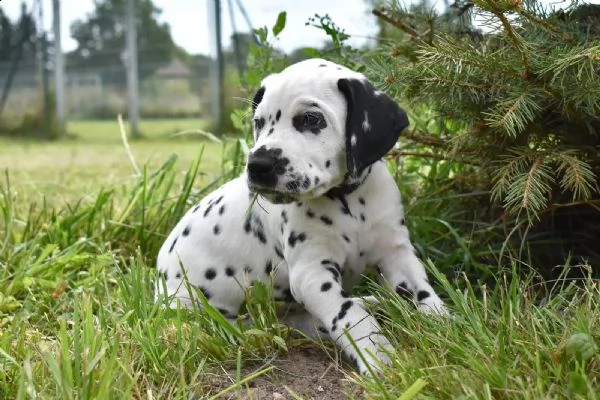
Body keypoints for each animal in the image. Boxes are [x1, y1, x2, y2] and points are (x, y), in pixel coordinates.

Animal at [157, 57, 448, 374]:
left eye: (311, 119)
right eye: (258, 123)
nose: (257, 164)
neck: (348, 202)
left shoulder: (396, 253)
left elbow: (423, 293)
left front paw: (447, 327)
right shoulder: (312, 273)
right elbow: (349, 314)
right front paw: (378, 356)